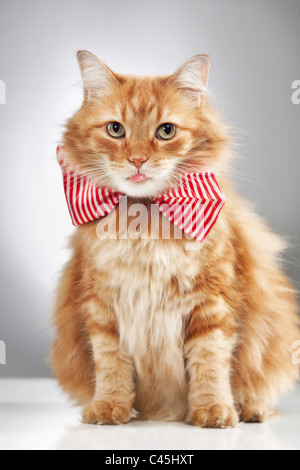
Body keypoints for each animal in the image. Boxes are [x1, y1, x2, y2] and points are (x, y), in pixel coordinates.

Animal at [51, 52, 298, 430]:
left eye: (165, 131)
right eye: (115, 129)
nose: (137, 159)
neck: (144, 224)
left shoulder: (213, 304)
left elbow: (209, 362)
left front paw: (213, 411)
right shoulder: (102, 307)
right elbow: (111, 364)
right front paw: (109, 408)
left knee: (257, 388)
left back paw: (249, 409)